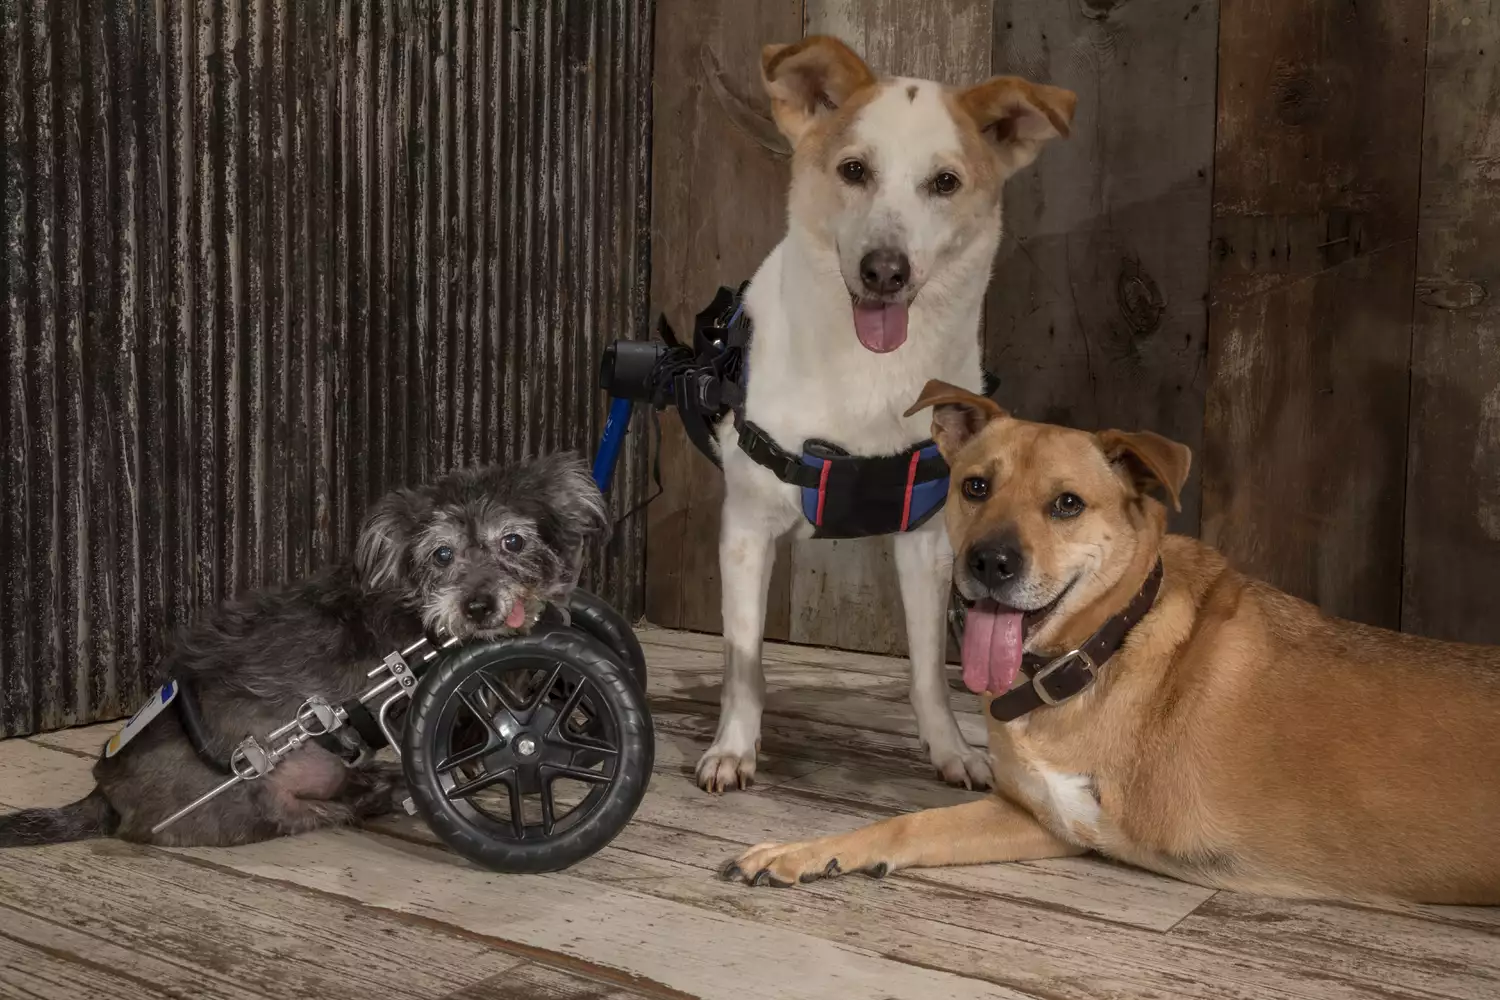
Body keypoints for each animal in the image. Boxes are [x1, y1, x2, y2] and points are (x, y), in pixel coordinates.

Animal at [1, 458, 609, 851]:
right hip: (261, 803)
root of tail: (103, 790)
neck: (419, 609)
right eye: (441, 554)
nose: (478, 607)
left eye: (514, 541)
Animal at [696, 35, 1074, 791]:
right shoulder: (746, 529)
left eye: (945, 183)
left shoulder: (929, 542)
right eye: (853, 170)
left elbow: (928, 670)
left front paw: (951, 749)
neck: (869, 372)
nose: (884, 271)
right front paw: (734, 747)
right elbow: (744, 659)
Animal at [720, 379, 1494, 905]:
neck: (1091, 656)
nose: (989, 563)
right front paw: (807, 852)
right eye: (975, 486)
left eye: (1067, 504)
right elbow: (909, 825)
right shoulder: (1047, 819)